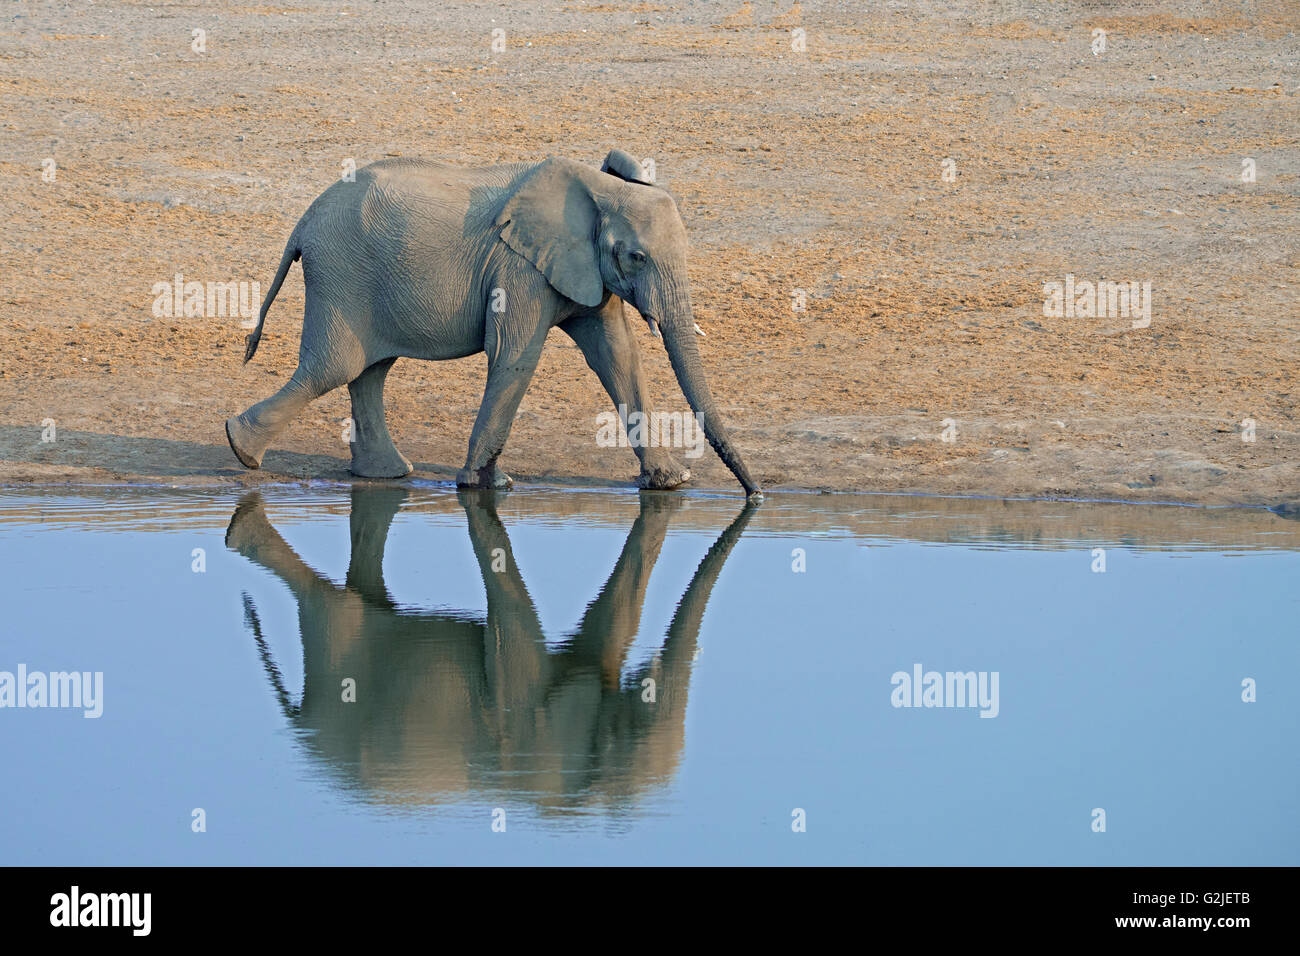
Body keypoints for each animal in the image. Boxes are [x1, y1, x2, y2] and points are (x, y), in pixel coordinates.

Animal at [225, 148, 762, 497]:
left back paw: (388, 475)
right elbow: (516, 356)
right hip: (341, 276)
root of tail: (303, 221)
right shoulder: (519, 269)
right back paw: (241, 448)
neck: (598, 188)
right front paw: (487, 485)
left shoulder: (584, 269)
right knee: (334, 368)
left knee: (368, 373)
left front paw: (671, 483)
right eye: (636, 256)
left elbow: (618, 357)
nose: (755, 495)